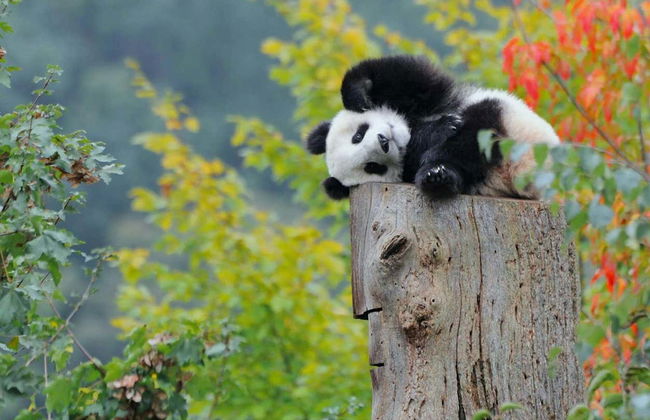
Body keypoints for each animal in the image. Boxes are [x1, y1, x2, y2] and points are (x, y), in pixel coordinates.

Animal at [306, 55, 560, 200]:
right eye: (372, 167)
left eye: (358, 135)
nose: (384, 142)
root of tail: (519, 172)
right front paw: (436, 131)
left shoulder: (428, 97)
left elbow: (405, 75)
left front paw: (358, 97)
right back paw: (437, 175)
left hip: (513, 122)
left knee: (476, 129)